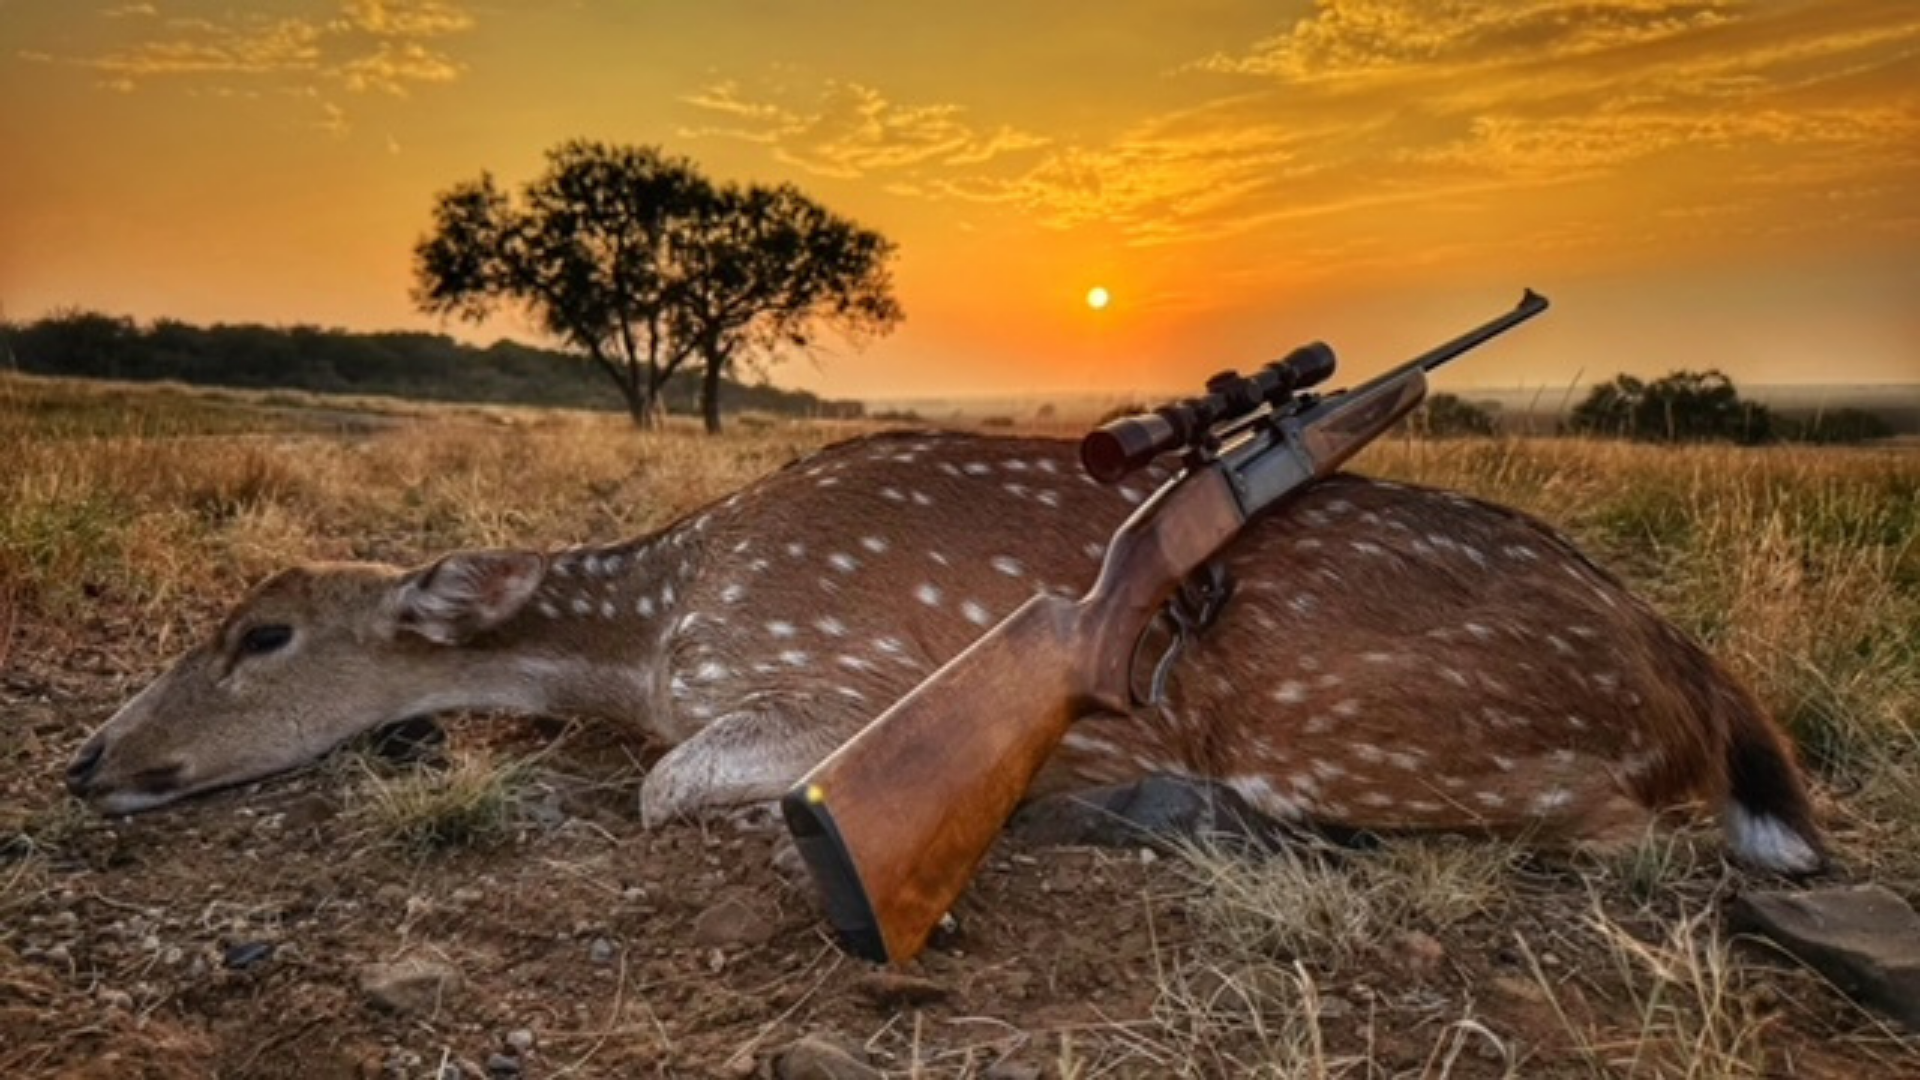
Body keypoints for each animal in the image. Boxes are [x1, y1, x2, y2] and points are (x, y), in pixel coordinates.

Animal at [64, 430, 1825, 874]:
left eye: (261, 631)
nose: (86, 758)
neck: (646, 638)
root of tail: (1695, 671)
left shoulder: (825, 676)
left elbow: (667, 783)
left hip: (1334, 711)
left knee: (1638, 833)